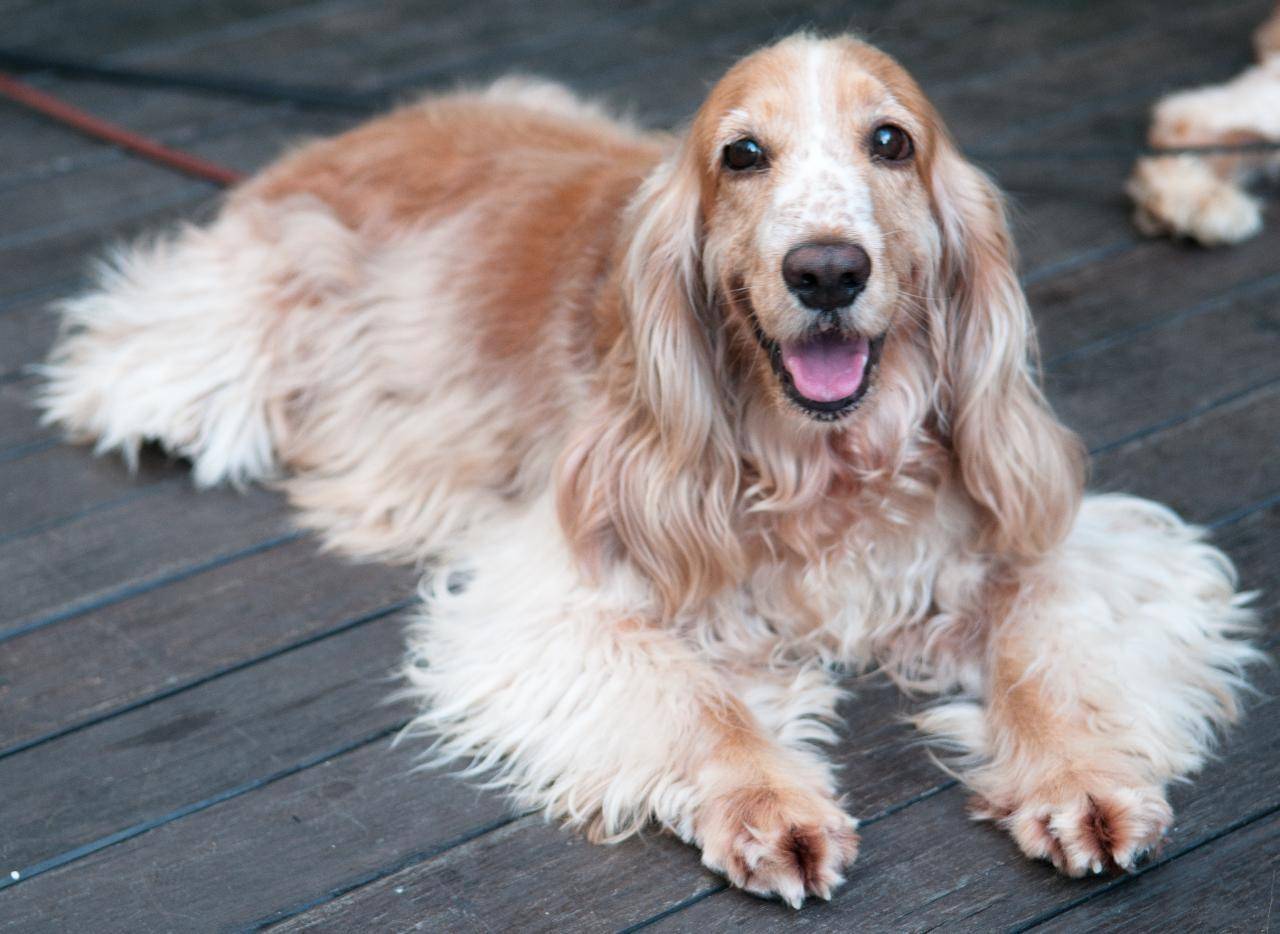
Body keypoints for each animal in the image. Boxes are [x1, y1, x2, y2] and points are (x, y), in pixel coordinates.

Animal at [42, 34, 1259, 900]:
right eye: (743, 155)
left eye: (890, 143)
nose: (826, 270)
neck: (824, 465)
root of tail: (346, 136)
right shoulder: (557, 589)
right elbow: (696, 701)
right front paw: (768, 803)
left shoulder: (1072, 544)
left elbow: (1046, 650)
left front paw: (1080, 781)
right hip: (218, 340)